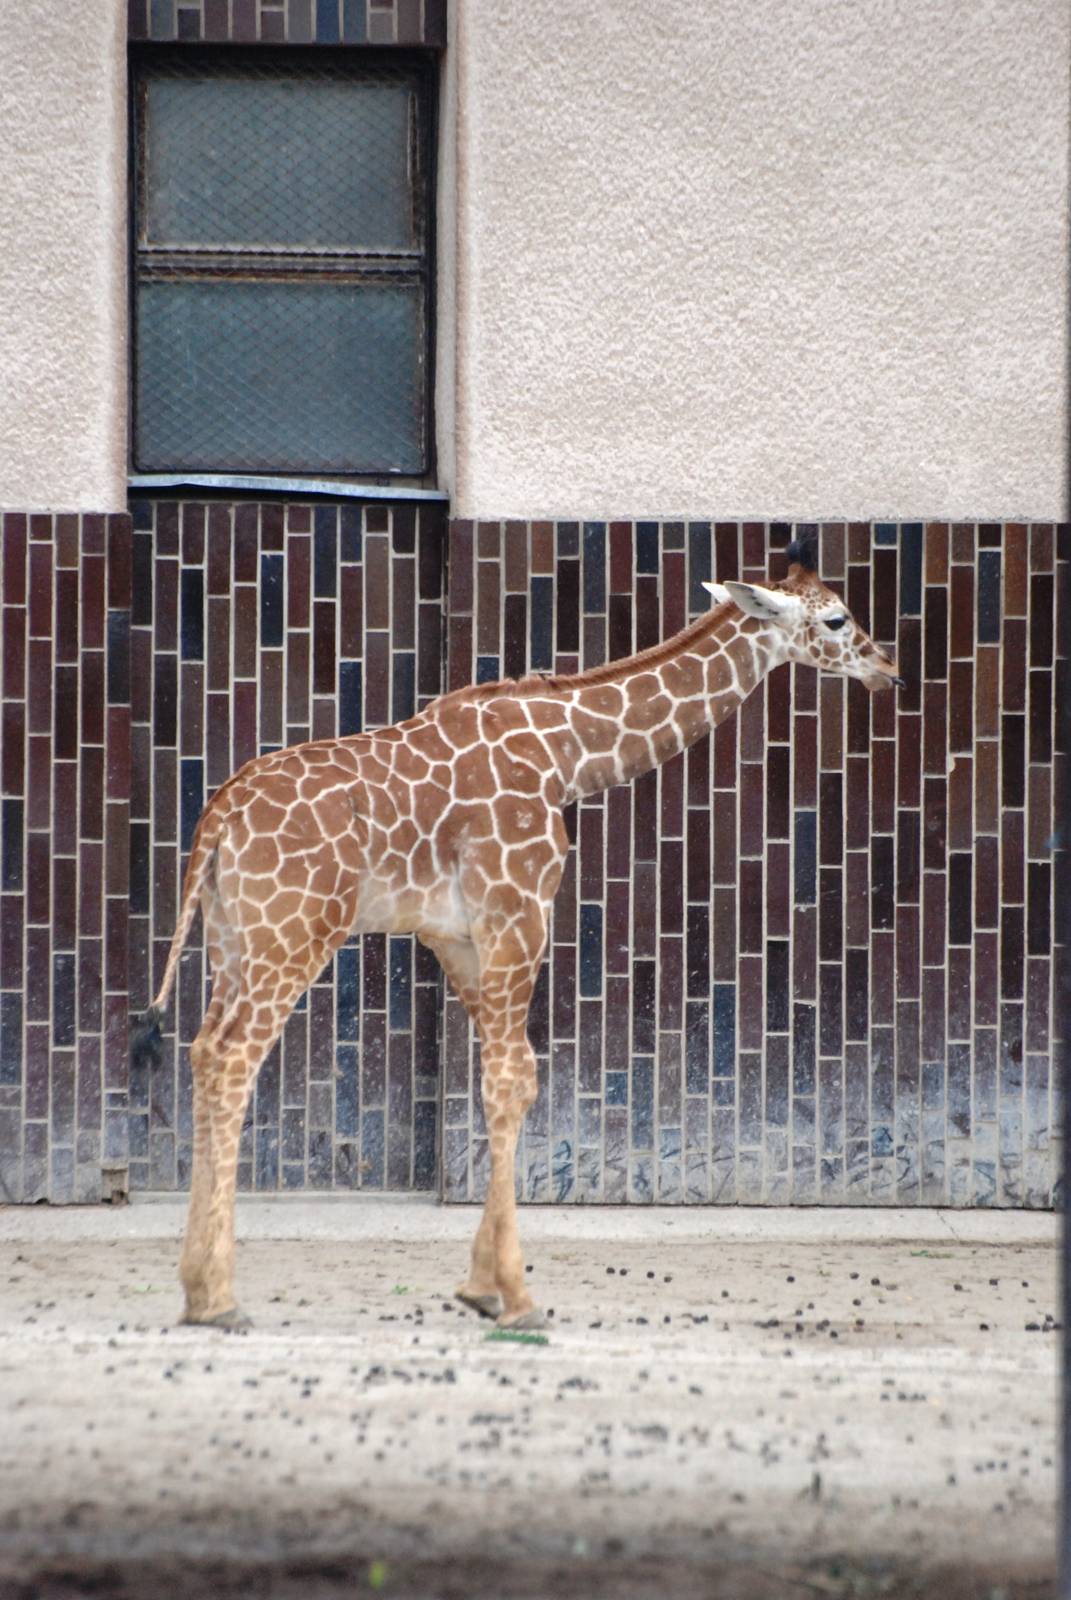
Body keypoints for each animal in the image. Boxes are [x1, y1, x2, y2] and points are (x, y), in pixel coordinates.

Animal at [131, 539, 903, 1331]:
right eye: (838, 619)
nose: (889, 667)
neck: (569, 754)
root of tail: (217, 818)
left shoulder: (457, 937)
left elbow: (502, 1077)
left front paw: (478, 1287)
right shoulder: (520, 906)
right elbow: (514, 1080)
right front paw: (515, 1295)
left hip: (234, 939)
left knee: (202, 1051)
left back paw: (197, 1291)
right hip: (294, 931)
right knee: (233, 1060)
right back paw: (221, 1299)